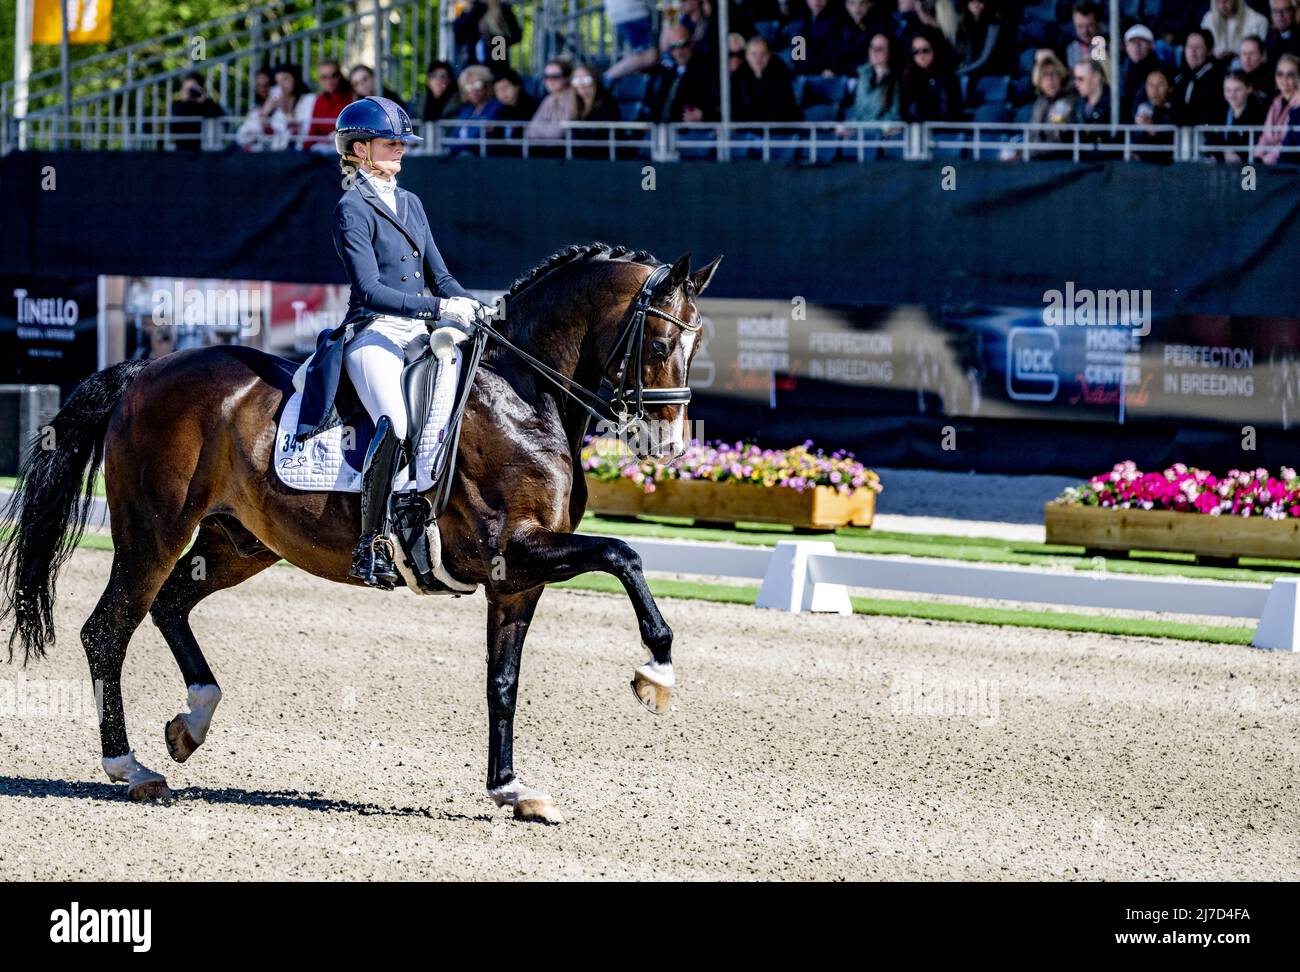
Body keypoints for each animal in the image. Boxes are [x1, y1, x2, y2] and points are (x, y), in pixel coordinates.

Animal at [0, 243, 722, 821]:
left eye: (697, 345)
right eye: (660, 346)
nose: (669, 446)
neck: (522, 399)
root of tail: (144, 374)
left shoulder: (516, 580)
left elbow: (503, 681)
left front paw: (511, 791)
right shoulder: (511, 550)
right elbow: (623, 554)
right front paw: (656, 670)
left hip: (238, 543)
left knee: (172, 605)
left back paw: (190, 724)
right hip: (154, 532)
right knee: (108, 630)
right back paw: (130, 768)